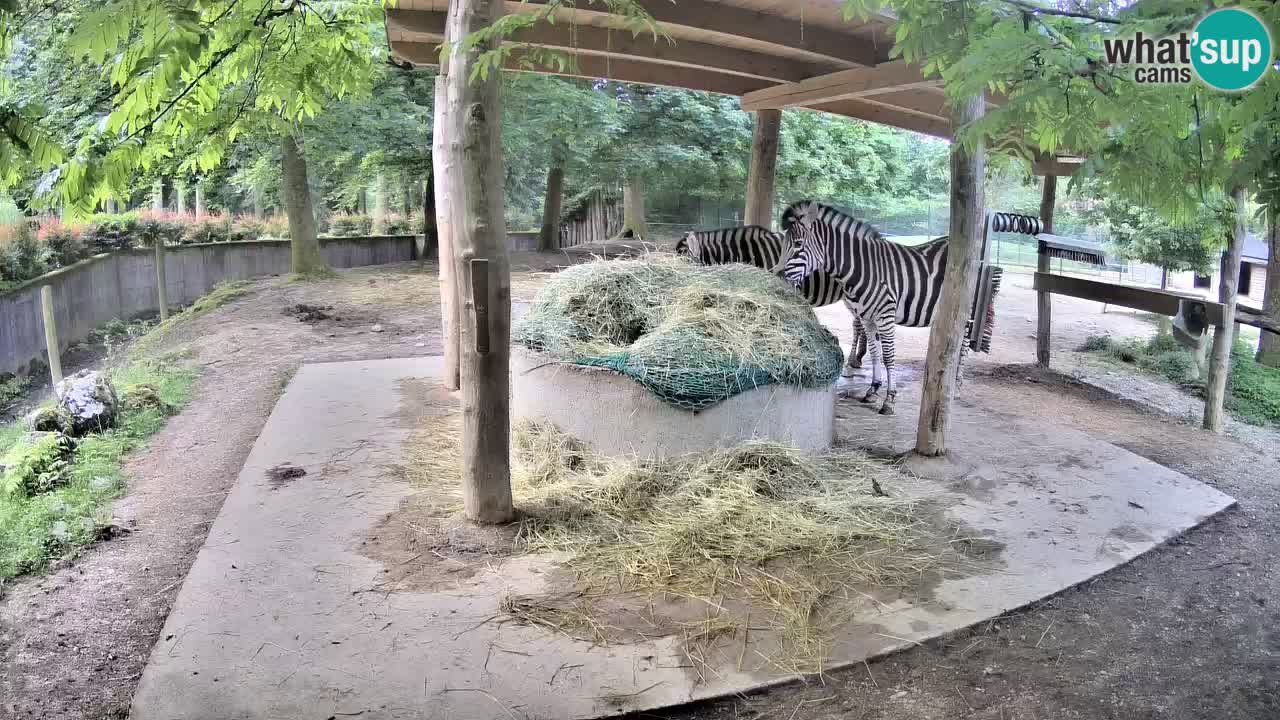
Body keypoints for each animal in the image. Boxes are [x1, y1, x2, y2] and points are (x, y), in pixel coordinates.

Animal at [778, 200, 958, 416]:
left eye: (798, 244)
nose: (777, 277)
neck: (862, 269)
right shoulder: (867, 317)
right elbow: (875, 353)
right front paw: (873, 389)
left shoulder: (885, 316)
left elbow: (888, 356)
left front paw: (889, 400)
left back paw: (956, 389)